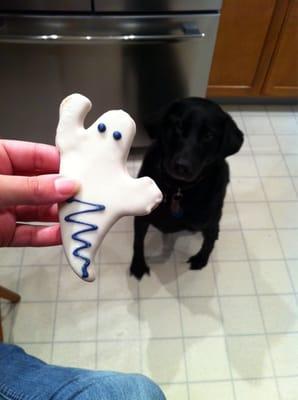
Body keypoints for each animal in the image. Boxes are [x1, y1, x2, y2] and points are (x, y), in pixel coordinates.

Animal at [130, 98, 242, 280]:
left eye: (208, 135)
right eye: (178, 126)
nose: (182, 166)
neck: (178, 188)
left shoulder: (210, 221)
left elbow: (209, 242)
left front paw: (201, 260)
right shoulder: (141, 218)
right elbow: (138, 242)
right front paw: (138, 264)